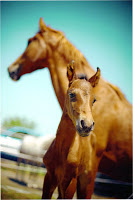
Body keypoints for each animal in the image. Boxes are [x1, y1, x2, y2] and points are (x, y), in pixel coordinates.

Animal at [42, 61, 101, 199]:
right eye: (72, 94)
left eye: (94, 100)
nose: (87, 126)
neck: (62, 151)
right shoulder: (49, 176)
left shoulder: (71, 182)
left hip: (87, 181)